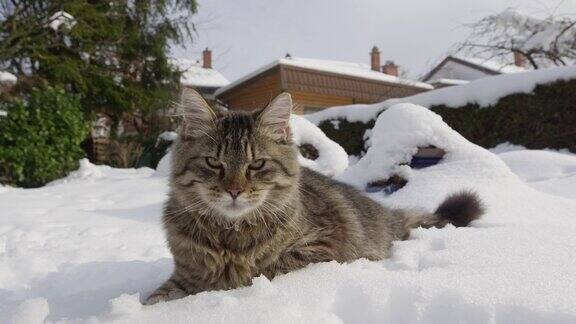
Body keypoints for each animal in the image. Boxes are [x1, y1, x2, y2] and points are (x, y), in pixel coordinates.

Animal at [144, 89, 482, 304]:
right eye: (214, 163)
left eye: (257, 164)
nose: (235, 190)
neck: (230, 237)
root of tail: (389, 213)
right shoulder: (184, 275)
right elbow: (157, 296)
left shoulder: (319, 246)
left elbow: (264, 270)